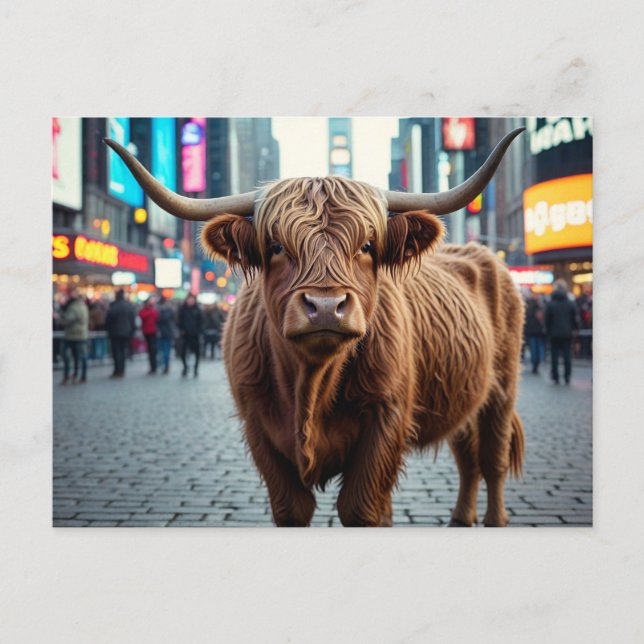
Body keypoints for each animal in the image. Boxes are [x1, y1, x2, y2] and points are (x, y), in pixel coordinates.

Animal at [105, 127, 525, 527]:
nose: (325, 307)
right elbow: (292, 509)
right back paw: (460, 516)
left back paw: (495, 519)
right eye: (276, 247)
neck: (310, 386)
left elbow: (360, 508)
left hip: (502, 389)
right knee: (468, 457)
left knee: (492, 459)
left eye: (367, 246)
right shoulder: (258, 427)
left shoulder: (386, 420)